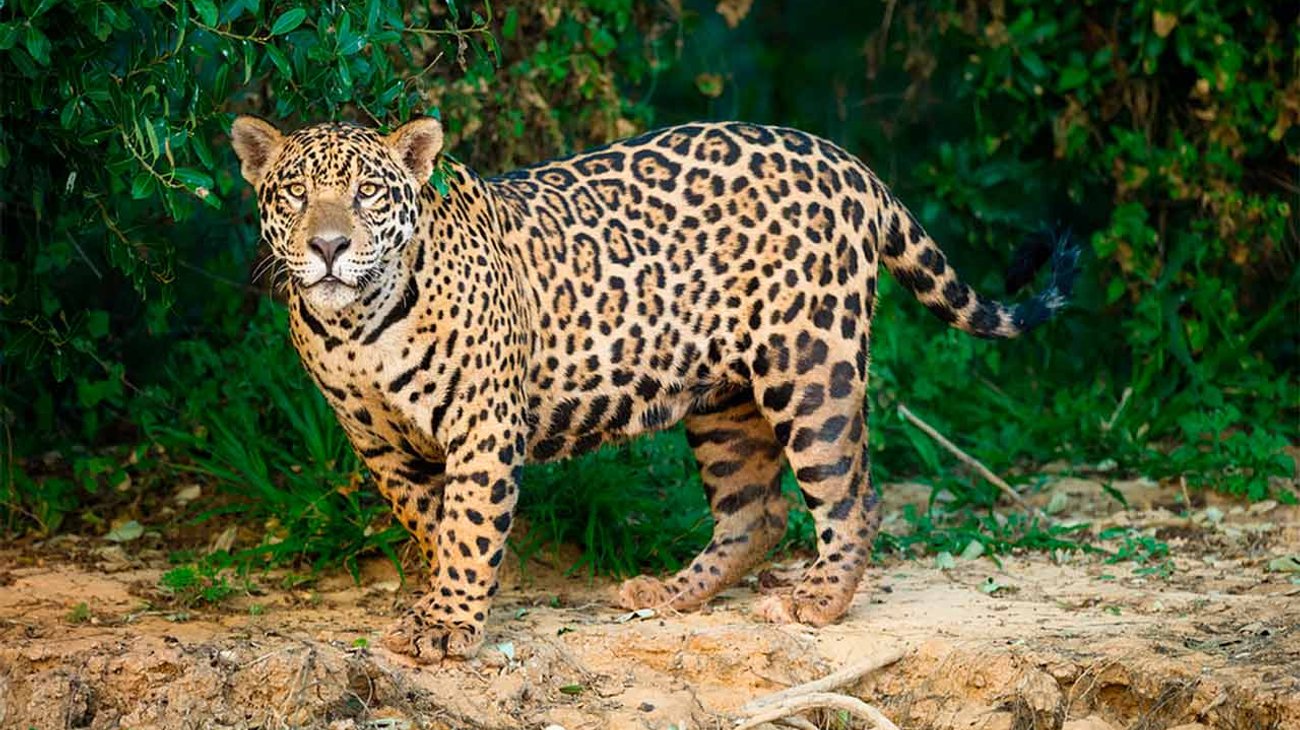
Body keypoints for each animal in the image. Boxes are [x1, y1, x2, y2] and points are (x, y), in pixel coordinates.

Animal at [230, 115, 1076, 663]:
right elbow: (436, 522)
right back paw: (670, 594)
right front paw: (444, 601)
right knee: (756, 512)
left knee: (852, 493)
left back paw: (818, 599)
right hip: (724, 398)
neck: (358, 324)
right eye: (294, 193)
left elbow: (470, 525)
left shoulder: (483, 423)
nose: (329, 246)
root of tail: (843, 158)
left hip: (811, 363)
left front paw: (447, 625)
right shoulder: (378, 445)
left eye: (369, 194)